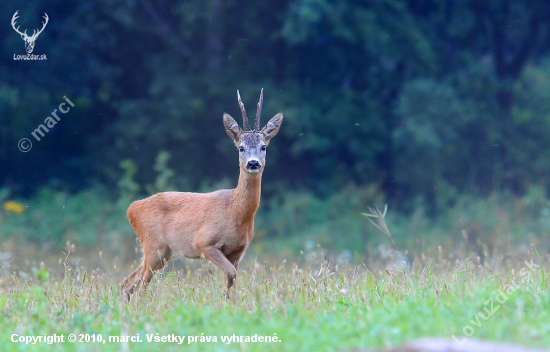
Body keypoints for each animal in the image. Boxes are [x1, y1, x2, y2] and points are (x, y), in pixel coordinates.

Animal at [121, 89, 284, 298]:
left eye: (264, 146)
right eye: (241, 148)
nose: (253, 163)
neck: (235, 212)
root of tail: (131, 208)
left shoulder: (238, 250)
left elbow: (231, 280)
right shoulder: (204, 242)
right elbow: (230, 273)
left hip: (163, 252)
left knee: (127, 283)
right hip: (153, 245)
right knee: (141, 285)